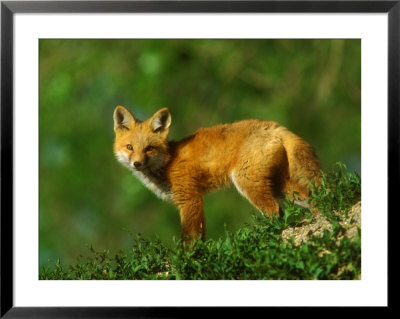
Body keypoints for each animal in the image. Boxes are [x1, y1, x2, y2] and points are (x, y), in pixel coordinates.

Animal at [113, 105, 322, 242]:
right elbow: (201, 234)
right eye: (130, 147)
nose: (137, 163)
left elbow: (190, 238)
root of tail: (274, 125)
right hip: (279, 185)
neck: (168, 161)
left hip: (248, 183)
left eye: (149, 149)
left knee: (276, 211)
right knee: (309, 199)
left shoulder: (190, 199)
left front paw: (189, 259)